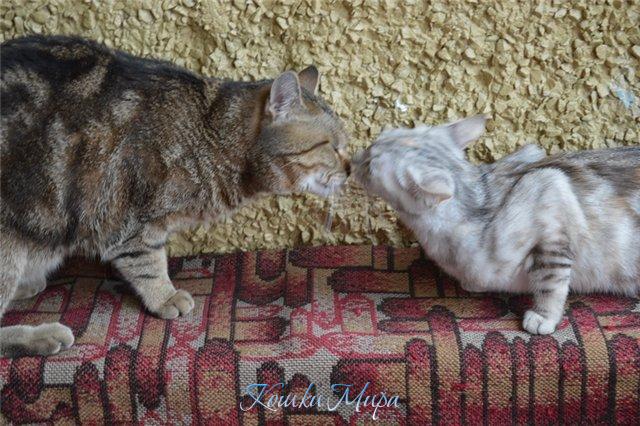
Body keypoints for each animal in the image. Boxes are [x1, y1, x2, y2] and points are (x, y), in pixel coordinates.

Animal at [0, 35, 350, 357]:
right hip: (9, 246)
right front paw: (164, 296)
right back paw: (40, 335)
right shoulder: (131, 219)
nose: (350, 168)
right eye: (333, 147)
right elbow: (148, 262)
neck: (210, 131)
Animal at [353, 115, 640, 334]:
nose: (354, 158)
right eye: (374, 141)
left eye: (370, 164)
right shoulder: (530, 153)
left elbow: (551, 281)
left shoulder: (548, 189)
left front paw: (543, 316)